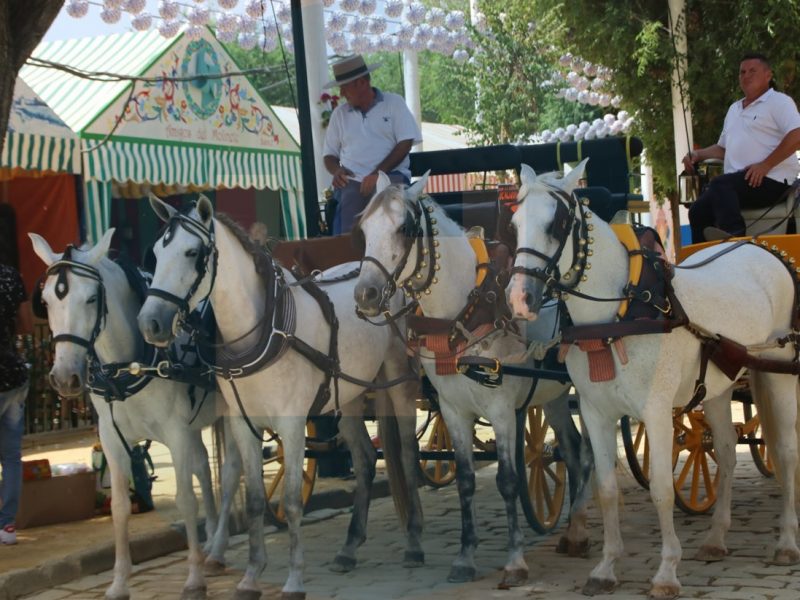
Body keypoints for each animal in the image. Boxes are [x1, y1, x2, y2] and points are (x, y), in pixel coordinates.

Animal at [26, 230, 230, 600]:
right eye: (46, 302)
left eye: (92, 298)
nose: (64, 377)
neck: (128, 365)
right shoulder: (112, 439)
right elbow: (119, 507)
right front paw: (119, 582)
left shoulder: (176, 433)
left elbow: (185, 499)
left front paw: (193, 578)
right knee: (204, 467)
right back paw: (212, 547)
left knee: (234, 469)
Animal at [136, 196, 424, 600]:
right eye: (157, 253)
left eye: (193, 253)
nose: (150, 323)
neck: (262, 329)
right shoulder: (244, 423)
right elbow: (257, 499)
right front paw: (251, 576)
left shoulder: (291, 423)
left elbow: (290, 501)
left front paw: (293, 579)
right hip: (348, 392)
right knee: (366, 458)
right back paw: (349, 547)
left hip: (399, 380)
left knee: (408, 453)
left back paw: (413, 541)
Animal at [352, 173, 592, 584]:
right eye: (363, 229)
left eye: (404, 229)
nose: (365, 294)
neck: (462, 311)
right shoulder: (453, 409)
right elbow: (465, 480)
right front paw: (465, 557)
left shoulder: (502, 409)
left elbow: (508, 480)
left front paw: (515, 560)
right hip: (554, 395)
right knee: (574, 452)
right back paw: (574, 530)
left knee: (593, 452)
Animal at [506, 162, 800, 596]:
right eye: (514, 224)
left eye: (557, 223)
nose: (520, 299)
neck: (619, 313)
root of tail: (759, 246)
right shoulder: (595, 411)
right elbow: (606, 489)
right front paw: (606, 567)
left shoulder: (657, 411)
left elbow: (661, 489)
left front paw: (666, 571)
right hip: (719, 383)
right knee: (727, 452)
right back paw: (716, 537)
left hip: (779, 371)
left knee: (786, 452)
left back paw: (786, 542)